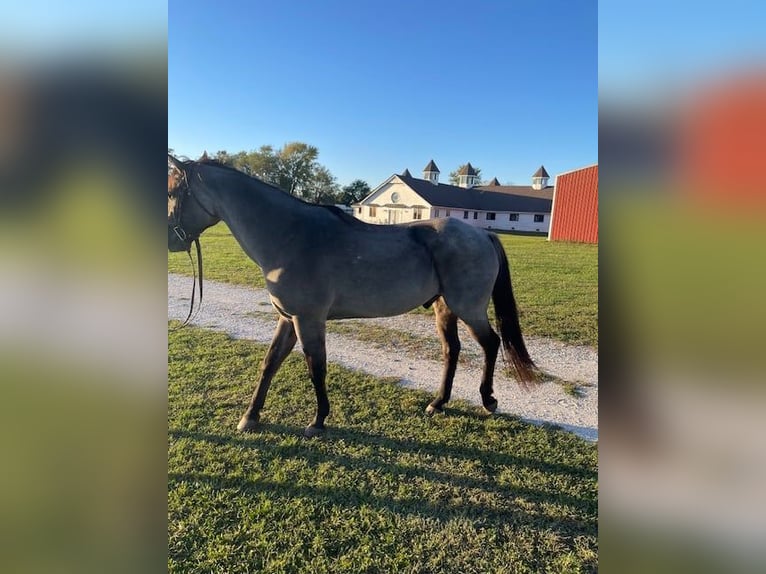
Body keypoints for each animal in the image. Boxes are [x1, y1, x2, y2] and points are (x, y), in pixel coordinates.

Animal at [168, 154, 539, 437]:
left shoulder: (308, 320)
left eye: (173, 193)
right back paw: (438, 402)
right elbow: (270, 363)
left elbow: (316, 365)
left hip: (468, 308)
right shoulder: (287, 318)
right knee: (453, 350)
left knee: (491, 344)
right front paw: (251, 416)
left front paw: (318, 421)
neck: (291, 235)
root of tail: (482, 233)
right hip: (444, 308)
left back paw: (488, 400)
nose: (172, 240)